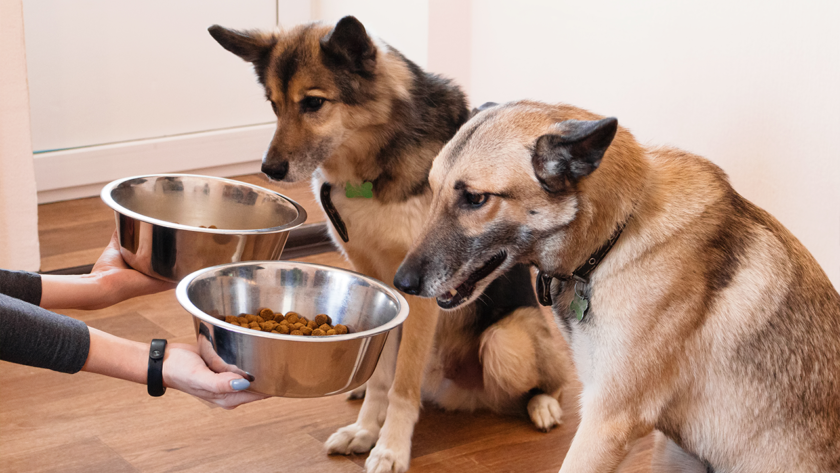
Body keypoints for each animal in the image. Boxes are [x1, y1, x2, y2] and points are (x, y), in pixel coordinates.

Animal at [208, 18, 572, 472]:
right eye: (274, 105)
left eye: (313, 103)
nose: (269, 170)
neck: (370, 172)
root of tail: (459, 394)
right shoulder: (375, 286)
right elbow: (383, 374)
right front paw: (366, 430)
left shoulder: (420, 294)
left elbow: (402, 386)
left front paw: (391, 447)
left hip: (505, 343)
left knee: (555, 380)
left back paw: (544, 405)